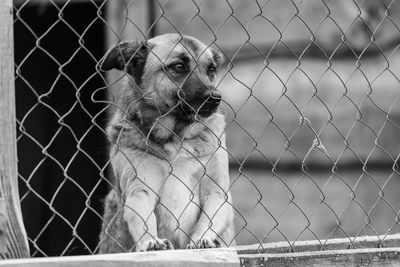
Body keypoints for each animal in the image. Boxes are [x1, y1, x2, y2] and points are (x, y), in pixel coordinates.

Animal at [97, 33, 234, 253]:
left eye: (211, 70)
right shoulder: (140, 191)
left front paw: (202, 238)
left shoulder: (216, 191)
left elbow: (208, 219)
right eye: (178, 66)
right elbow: (142, 219)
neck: (176, 139)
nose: (215, 98)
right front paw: (151, 241)